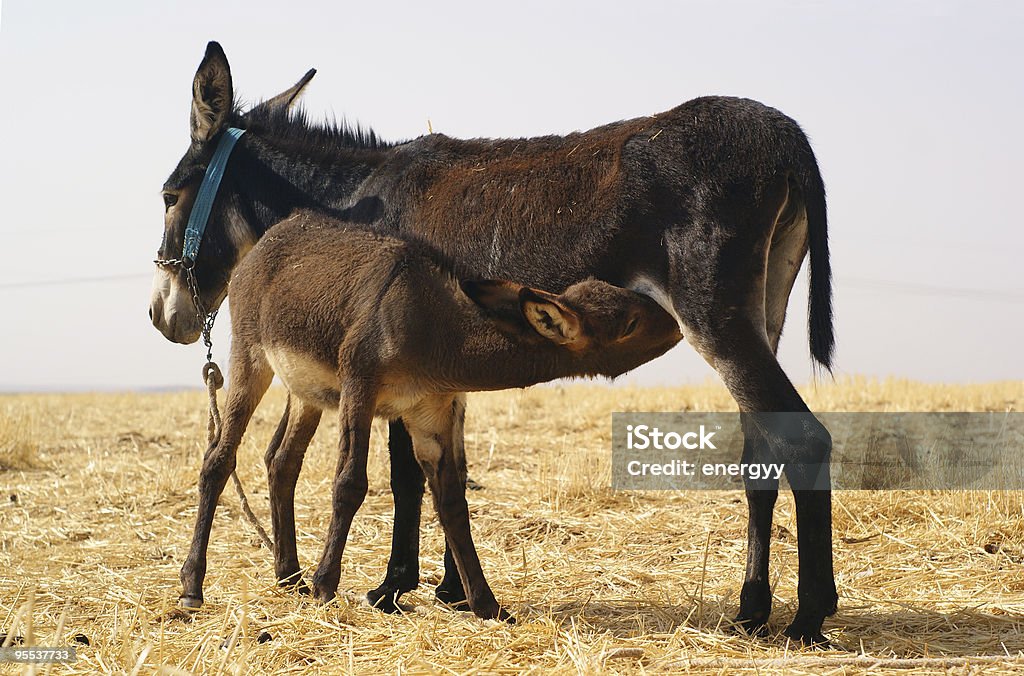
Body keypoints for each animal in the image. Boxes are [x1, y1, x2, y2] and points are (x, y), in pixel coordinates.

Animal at [180, 214, 684, 618]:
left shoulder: (432, 414)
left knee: (281, 462)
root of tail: (266, 242)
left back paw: (288, 577)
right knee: (218, 460)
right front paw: (326, 586)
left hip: (307, 394)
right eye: (630, 323)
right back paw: (193, 587)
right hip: (250, 360)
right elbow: (350, 484)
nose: (678, 321)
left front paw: (487, 605)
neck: (435, 328)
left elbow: (453, 503)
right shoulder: (360, 388)